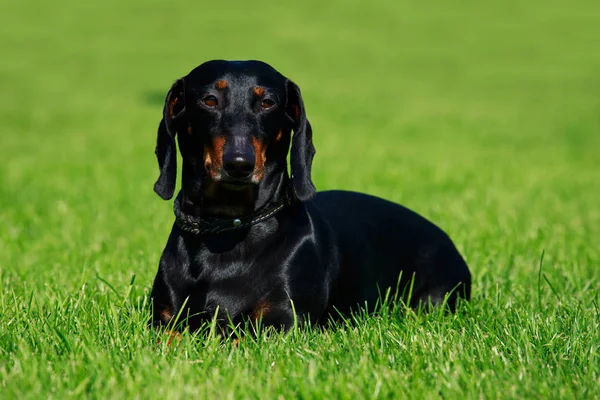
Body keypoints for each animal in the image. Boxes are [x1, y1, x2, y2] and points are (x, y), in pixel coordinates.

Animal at [149, 61, 468, 332]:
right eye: (209, 100)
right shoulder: (165, 322)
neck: (227, 229)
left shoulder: (283, 323)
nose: (239, 164)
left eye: (268, 102)